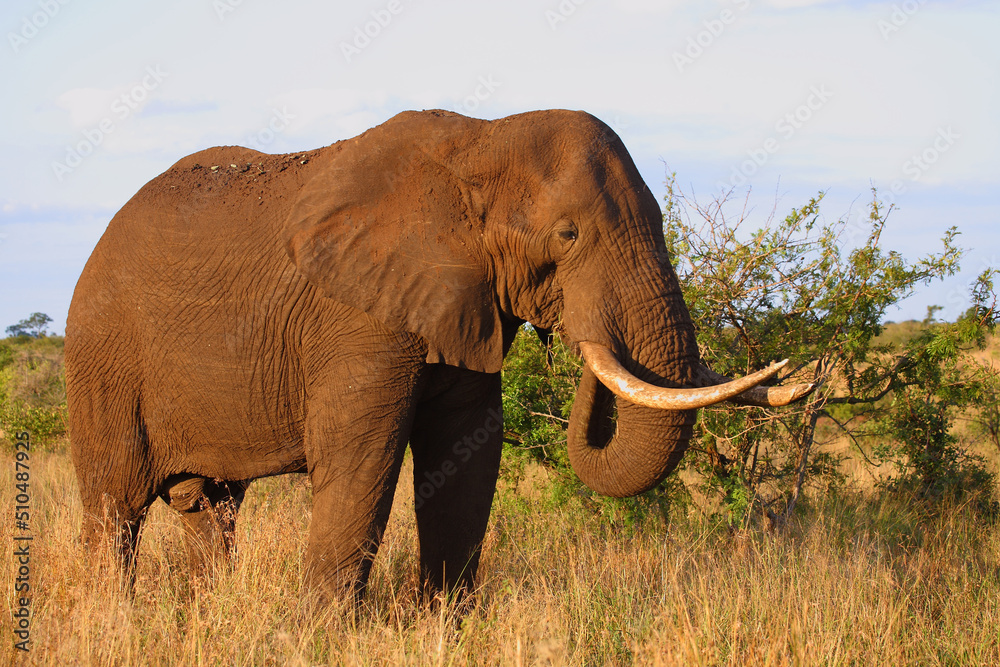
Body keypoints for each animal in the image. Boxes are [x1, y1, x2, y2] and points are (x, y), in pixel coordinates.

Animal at [65, 109, 812, 603]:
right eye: (568, 235)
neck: (480, 139)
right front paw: (324, 634)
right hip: (102, 357)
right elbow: (361, 455)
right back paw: (112, 618)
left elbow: (468, 450)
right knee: (115, 506)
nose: (574, 331)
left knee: (210, 510)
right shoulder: (357, 314)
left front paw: (445, 624)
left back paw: (210, 610)